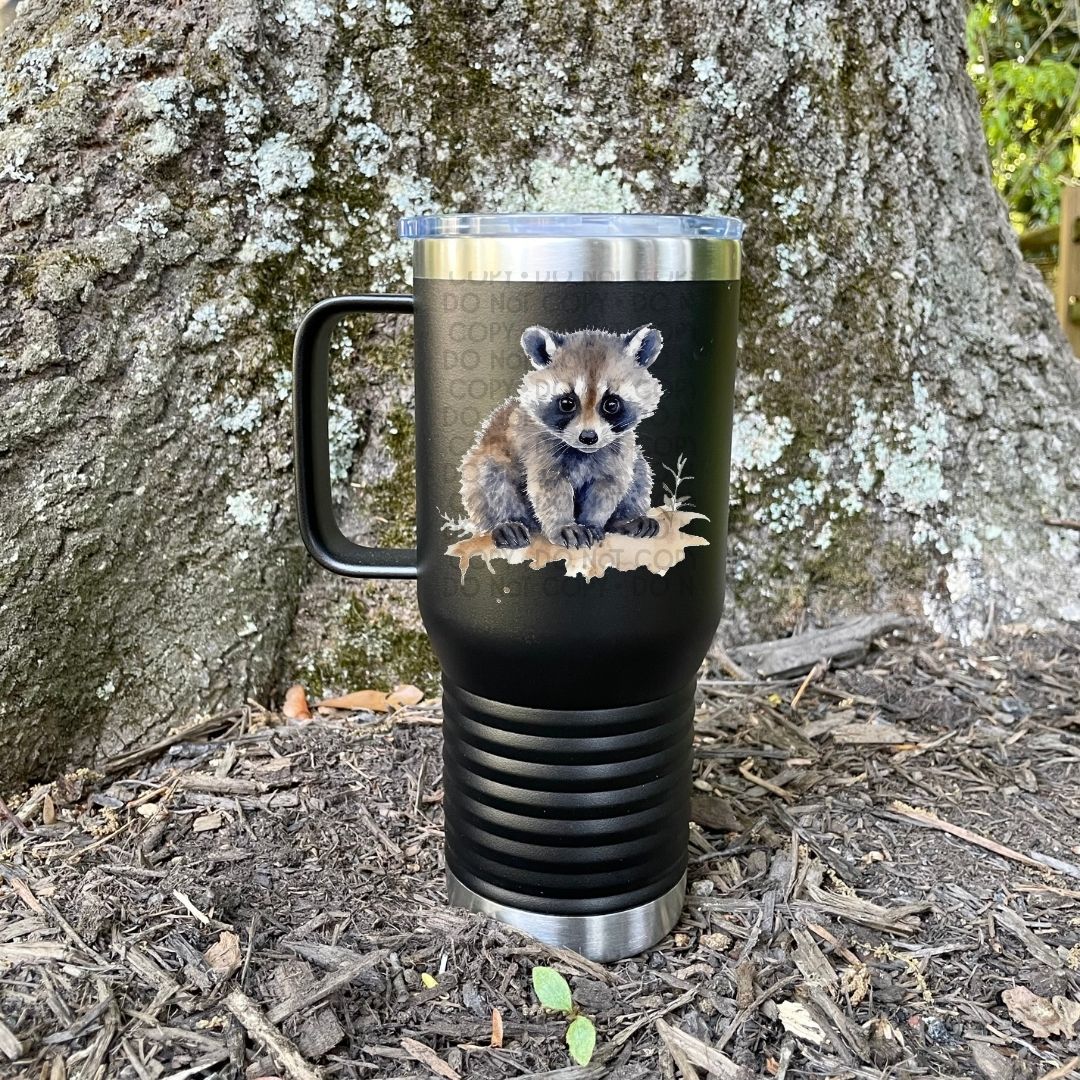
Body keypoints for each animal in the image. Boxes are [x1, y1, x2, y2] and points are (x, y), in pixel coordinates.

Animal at [459, 324, 664, 549]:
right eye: (567, 403)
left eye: (611, 404)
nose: (588, 437)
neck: (584, 452)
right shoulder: (539, 448)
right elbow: (549, 490)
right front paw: (563, 525)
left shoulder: (618, 452)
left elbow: (609, 487)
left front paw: (592, 522)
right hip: (484, 467)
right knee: (491, 476)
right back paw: (507, 522)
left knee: (640, 470)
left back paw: (625, 519)